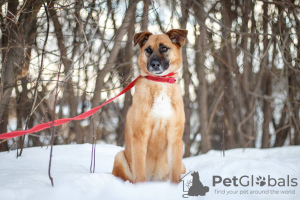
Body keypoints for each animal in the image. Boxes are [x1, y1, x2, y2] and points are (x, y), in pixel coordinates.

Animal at [112, 28, 188, 184]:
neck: (160, 82)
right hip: (120, 157)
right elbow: (140, 171)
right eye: (148, 50)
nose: (154, 64)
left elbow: (175, 175)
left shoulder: (175, 137)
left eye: (164, 48)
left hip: (182, 165)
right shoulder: (140, 136)